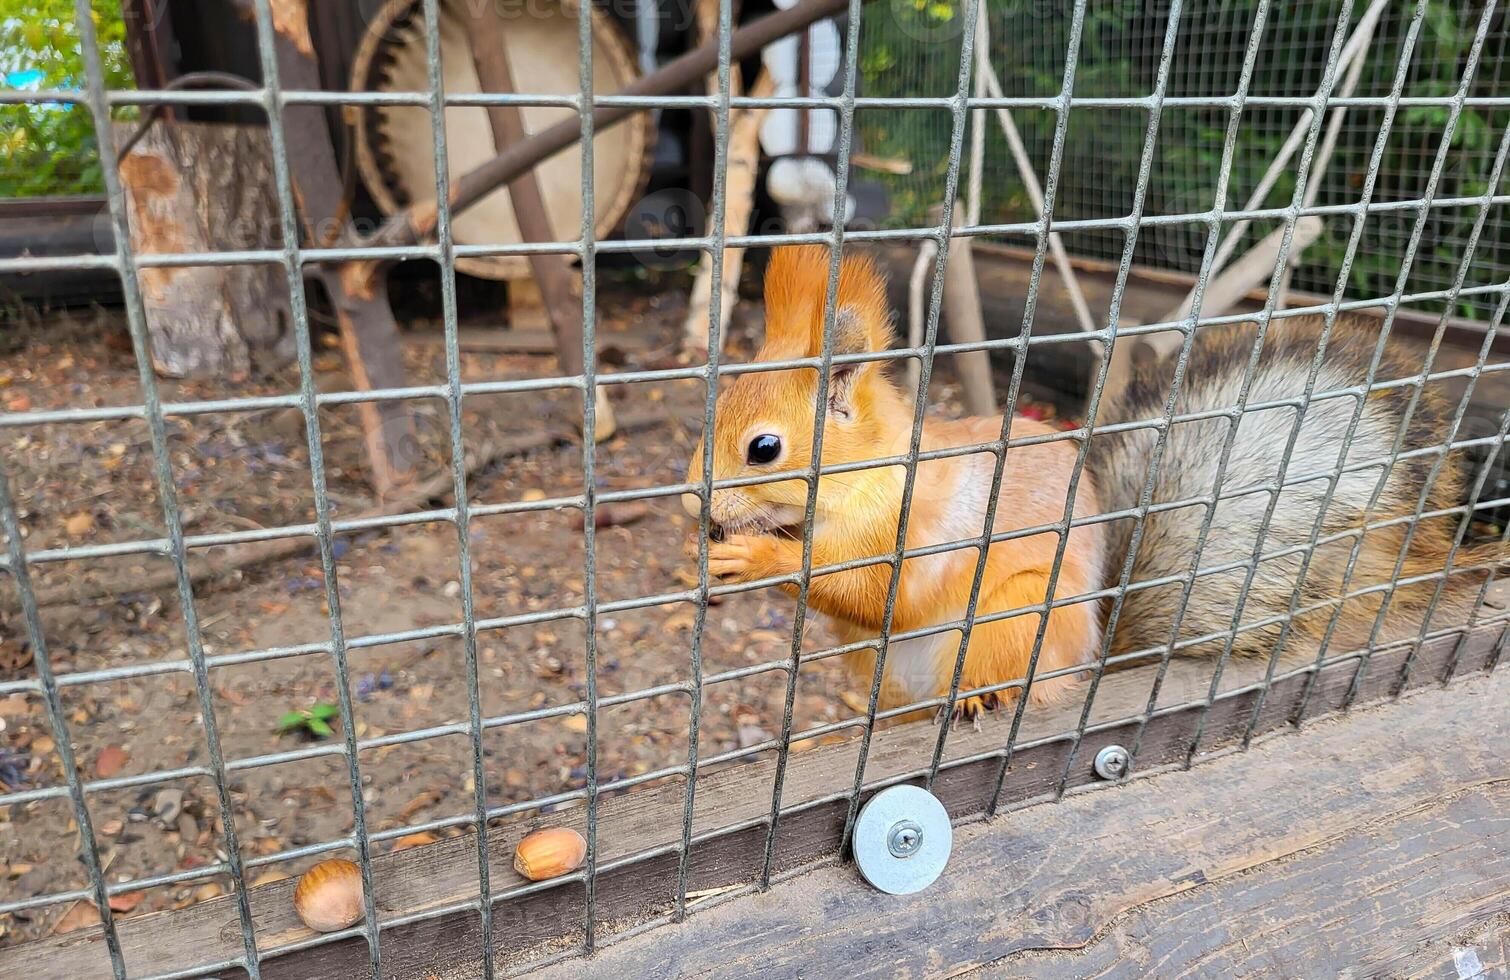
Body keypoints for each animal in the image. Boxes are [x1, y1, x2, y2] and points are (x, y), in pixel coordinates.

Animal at [685, 246, 1111, 718]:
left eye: (763, 448)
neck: (869, 478)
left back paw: (977, 695)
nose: (692, 503)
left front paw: (755, 556)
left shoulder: (917, 537)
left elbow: (877, 596)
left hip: (1020, 615)